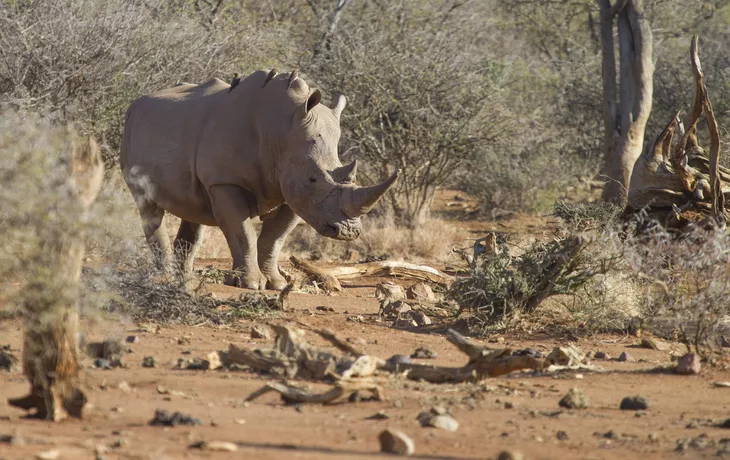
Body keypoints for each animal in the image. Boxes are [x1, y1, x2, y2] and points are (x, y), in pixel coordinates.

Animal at [121, 70, 398, 290]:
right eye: (312, 179)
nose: (348, 231)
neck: (280, 131)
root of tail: (136, 103)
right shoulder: (226, 180)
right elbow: (242, 232)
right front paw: (251, 284)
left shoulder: (291, 190)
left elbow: (274, 239)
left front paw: (277, 284)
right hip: (132, 133)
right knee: (149, 207)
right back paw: (165, 278)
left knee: (193, 210)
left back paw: (185, 279)